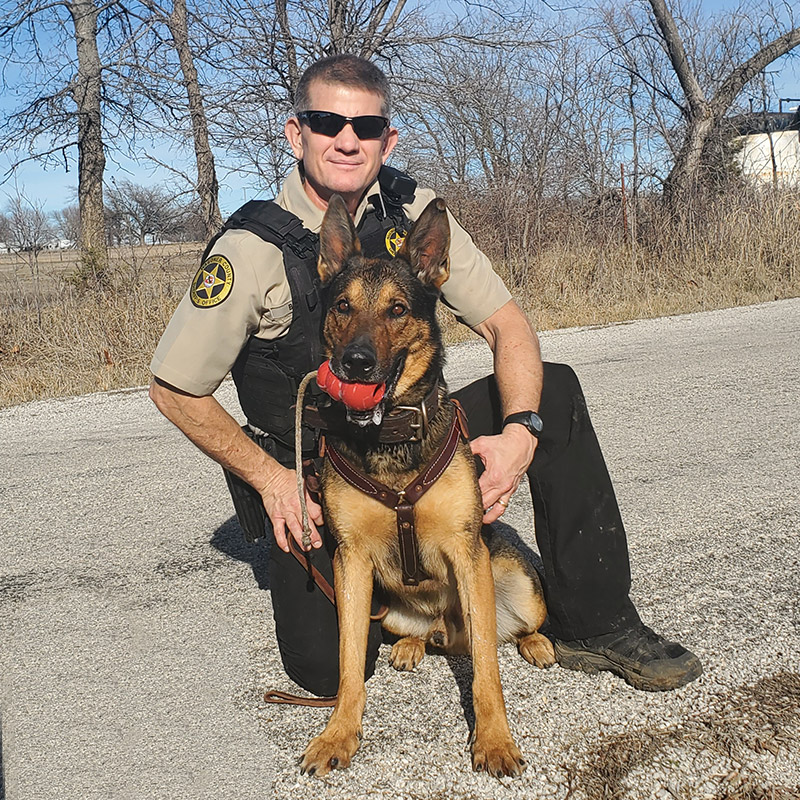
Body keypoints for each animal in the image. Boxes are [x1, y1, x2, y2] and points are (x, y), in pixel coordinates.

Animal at [300, 194, 556, 776]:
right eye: (342, 306)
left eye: (397, 309)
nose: (355, 363)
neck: (389, 440)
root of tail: (444, 627)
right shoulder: (350, 565)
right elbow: (349, 663)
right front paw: (338, 734)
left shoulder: (466, 551)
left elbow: (487, 669)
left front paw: (494, 740)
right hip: (390, 608)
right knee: (425, 638)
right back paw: (412, 647)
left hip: (515, 580)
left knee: (504, 633)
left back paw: (535, 643)